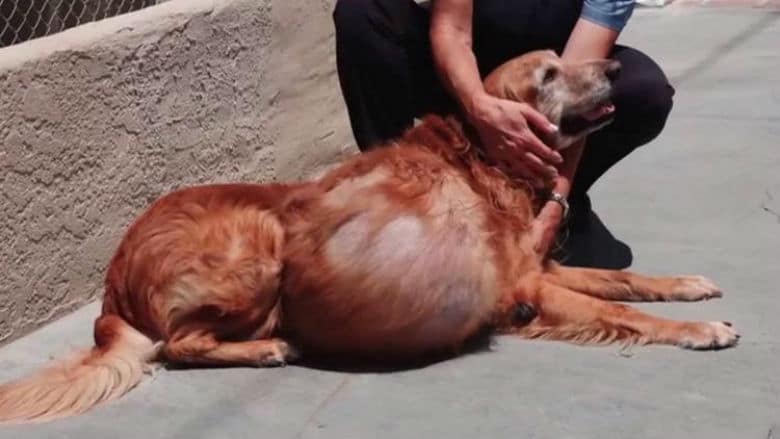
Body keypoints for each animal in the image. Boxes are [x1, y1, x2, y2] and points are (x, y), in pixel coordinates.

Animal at [0, 49, 736, 424]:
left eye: (567, 62)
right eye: (548, 75)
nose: (612, 69)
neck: (480, 162)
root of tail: (111, 287)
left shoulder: (538, 268)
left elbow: (623, 280)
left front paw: (686, 284)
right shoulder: (523, 288)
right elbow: (621, 311)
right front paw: (698, 329)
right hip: (261, 243)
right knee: (179, 345)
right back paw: (268, 347)